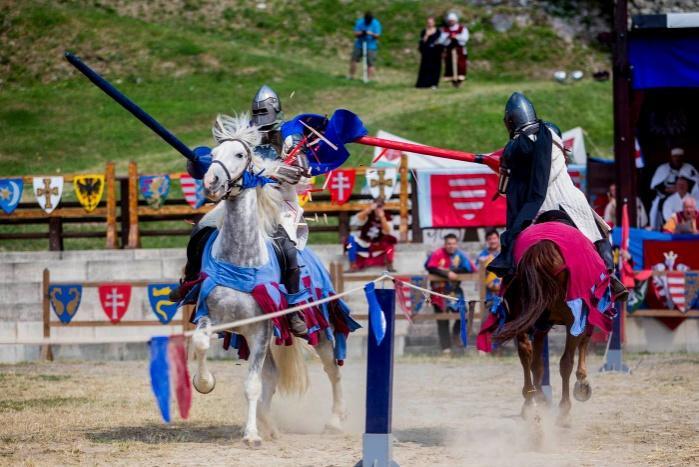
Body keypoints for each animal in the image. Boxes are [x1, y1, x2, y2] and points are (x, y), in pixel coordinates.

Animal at [191, 113, 348, 446]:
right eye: (213, 154)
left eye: (239, 155)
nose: (212, 182)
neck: (241, 257)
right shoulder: (212, 316)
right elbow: (200, 342)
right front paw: (204, 382)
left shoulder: (260, 329)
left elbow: (251, 384)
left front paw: (251, 435)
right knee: (272, 377)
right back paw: (269, 424)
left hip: (320, 328)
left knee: (332, 370)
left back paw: (334, 421)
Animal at [494, 239, 592, 426]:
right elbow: (583, 341)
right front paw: (582, 384)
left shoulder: (541, 325)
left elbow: (537, 364)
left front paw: (540, 398)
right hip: (570, 318)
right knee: (566, 362)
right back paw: (564, 410)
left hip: (523, 316)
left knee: (525, 352)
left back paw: (529, 402)